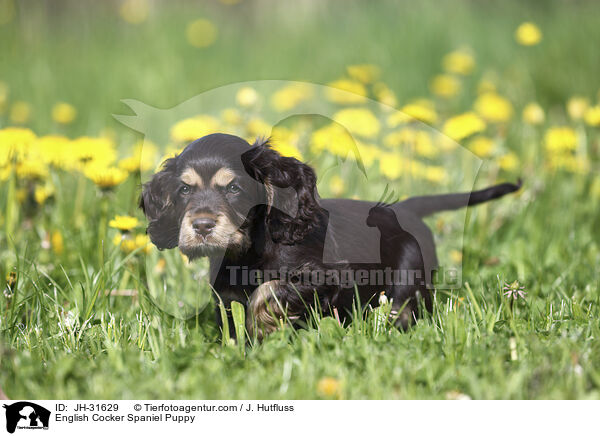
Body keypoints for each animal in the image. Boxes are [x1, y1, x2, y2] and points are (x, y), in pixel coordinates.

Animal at [141, 133, 520, 340]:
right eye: (184, 190)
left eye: (233, 188)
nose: (202, 226)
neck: (248, 251)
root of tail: (405, 210)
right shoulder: (225, 293)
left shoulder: (324, 277)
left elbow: (269, 289)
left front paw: (264, 328)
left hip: (409, 271)